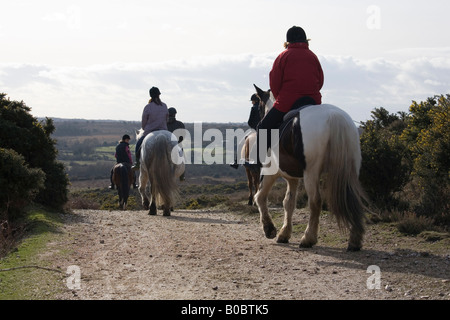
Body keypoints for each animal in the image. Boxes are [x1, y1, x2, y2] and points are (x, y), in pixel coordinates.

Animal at [255, 85, 368, 252]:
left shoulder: (270, 172)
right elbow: (288, 203)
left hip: (311, 172)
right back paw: (354, 240)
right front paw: (284, 233)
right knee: (352, 198)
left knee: (315, 202)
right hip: (351, 170)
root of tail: (334, 116)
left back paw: (308, 238)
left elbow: (261, 197)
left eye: (259, 106)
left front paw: (269, 229)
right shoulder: (292, 178)